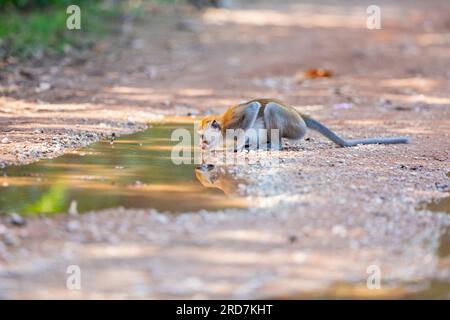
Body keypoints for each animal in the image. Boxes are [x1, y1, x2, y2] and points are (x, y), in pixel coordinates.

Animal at [199, 98, 410, 151]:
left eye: (202, 135)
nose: (201, 143)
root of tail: (299, 114)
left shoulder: (232, 122)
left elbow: (253, 108)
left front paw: (239, 145)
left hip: (295, 126)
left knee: (270, 108)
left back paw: (273, 145)